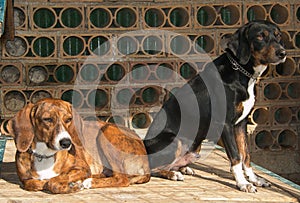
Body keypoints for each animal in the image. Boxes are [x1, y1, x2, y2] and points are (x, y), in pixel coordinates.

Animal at [5, 98, 149, 193]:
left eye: (69, 119)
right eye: (47, 119)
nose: (66, 143)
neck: (45, 154)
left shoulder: (82, 168)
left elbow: (55, 180)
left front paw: (67, 185)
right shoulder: (26, 180)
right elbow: (33, 183)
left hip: (106, 131)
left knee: (122, 179)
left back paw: (88, 182)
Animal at [144, 20, 288, 192]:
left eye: (278, 35)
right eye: (260, 36)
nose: (282, 53)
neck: (241, 73)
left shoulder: (240, 124)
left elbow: (246, 155)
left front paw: (255, 179)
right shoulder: (225, 124)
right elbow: (236, 156)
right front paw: (243, 183)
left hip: (196, 145)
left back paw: (183, 168)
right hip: (175, 140)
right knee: (152, 169)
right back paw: (173, 174)